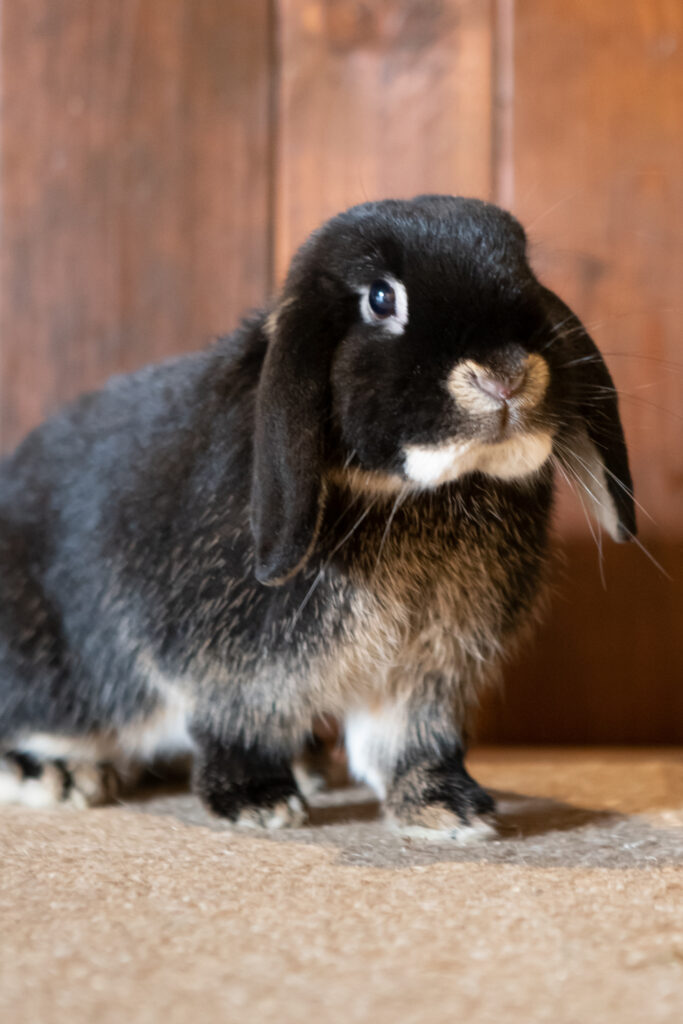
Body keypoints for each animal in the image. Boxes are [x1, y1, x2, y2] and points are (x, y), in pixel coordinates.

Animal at [0, 195, 634, 835]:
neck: (411, 493)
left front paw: (447, 808)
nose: (505, 375)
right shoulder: (237, 665)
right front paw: (259, 804)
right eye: (381, 298)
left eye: (525, 275)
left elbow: (410, 739)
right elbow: (237, 726)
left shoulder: (427, 672)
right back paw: (57, 776)